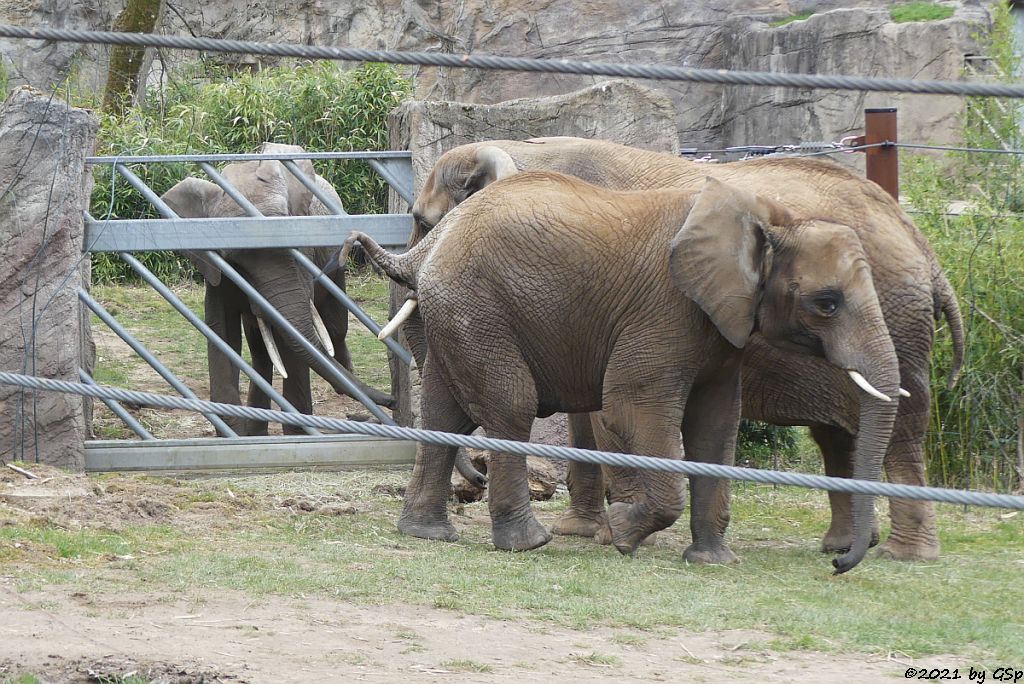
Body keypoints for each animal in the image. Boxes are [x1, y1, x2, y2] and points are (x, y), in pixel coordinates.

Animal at [161, 141, 393, 436]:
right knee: (260, 347)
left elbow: (291, 337)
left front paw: (296, 435)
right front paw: (236, 432)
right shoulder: (215, 270)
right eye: (234, 260)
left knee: (335, 326)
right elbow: (222, 331)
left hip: (335, 267)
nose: (392, 400)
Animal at [387, 135, 962, 561]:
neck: (520, 149)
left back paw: (903, 555)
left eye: (421, 221)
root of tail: (922, 245)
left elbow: (611, 414)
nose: (474, 483)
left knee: (899, 432)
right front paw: (588, 531)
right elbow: (592, 415)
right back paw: (844, 548)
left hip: (900, 326)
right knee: (839, 437)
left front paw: (610, 533)